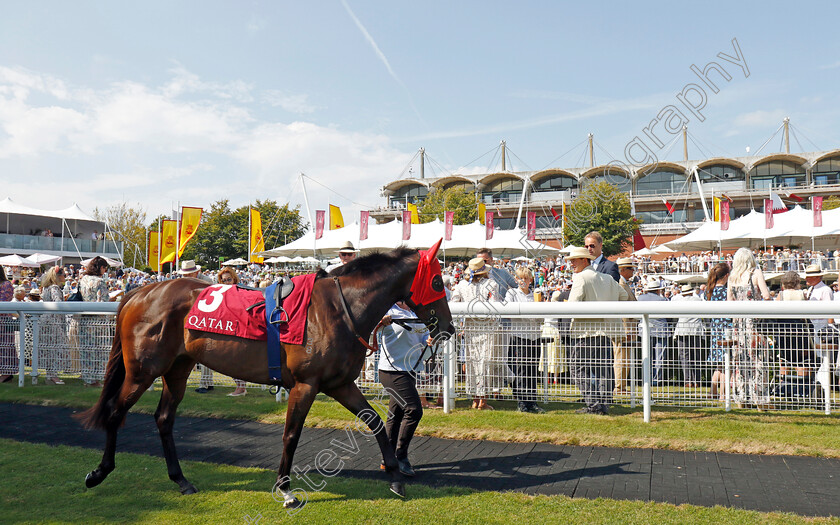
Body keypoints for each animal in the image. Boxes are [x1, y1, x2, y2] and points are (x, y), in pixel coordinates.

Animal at [77, 243, 452, 508]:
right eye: (437, 281)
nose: (448, 328)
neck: (339, 309)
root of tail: (139, 293)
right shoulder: (306, 384)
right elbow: (291, 435)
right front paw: (285, 490)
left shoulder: (340, 383)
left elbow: (374, 421)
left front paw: (395, 476)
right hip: (143, 371)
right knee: (116, 411)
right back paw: (99, 472)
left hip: (178, 369)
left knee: (164, 419)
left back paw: (181, 480)